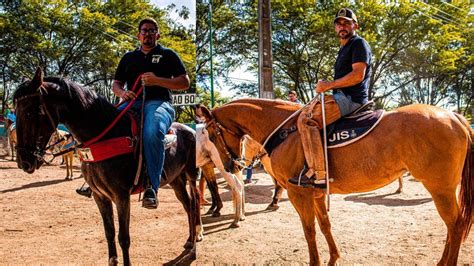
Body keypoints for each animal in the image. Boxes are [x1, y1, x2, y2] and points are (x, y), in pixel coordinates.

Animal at [12, 67, 202, 264]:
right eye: (15, 111)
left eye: (29, 112)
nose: (23, 161)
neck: (105, 135)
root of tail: (190, 130)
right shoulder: (100, 196)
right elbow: (109, 233)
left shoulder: (121, 196)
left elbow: (123, 238)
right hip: (176, 180)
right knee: (188, 205)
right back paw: (189, 240)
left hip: (191, 176)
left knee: (194, 205)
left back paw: (194, 248)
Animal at [195, 98, 470, 264]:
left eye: (210, 134)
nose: (231, 166)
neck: (286, 132)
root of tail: (454, 116)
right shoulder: (316, 193)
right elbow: (325, 225)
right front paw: (333, 257)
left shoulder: (298, 194)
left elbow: (309, 231)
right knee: (452, 227)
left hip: (441, 189)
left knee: (455, 226)